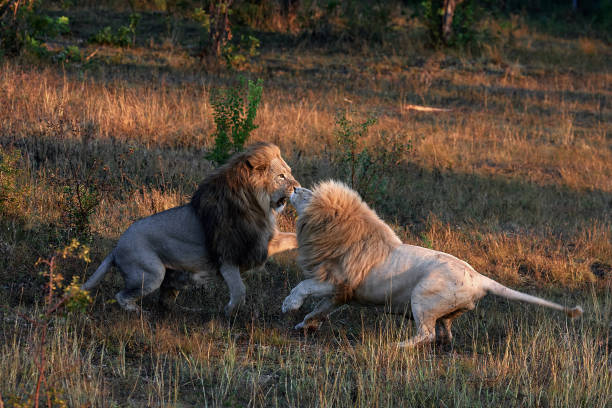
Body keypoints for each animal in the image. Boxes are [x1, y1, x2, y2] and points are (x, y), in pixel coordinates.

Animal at [81, 141, 302, 316]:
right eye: (281, 176)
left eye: (290, 173)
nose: (298, 187)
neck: (255, 204)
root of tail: (116, 248)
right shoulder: (227, 257)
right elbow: (240, 291)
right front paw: (229, 312)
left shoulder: (260, 241)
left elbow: (292, 237)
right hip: (151, 273)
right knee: (122, 295)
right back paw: (139, 313)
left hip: (173, 275)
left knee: (165, 301)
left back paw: (187, 310)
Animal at [282, 182, 584, 348]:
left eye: (307, 195)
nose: (294, 187)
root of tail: (479, 277)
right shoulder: (341, 293)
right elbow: (321, 309)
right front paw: (305, 325)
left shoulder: (339, 281)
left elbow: (304, 286)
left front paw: (289, 306)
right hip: (446, 309)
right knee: (445, 328)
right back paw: (444, 344)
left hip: (422, 297)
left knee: (425, 334)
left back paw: (398, 346)